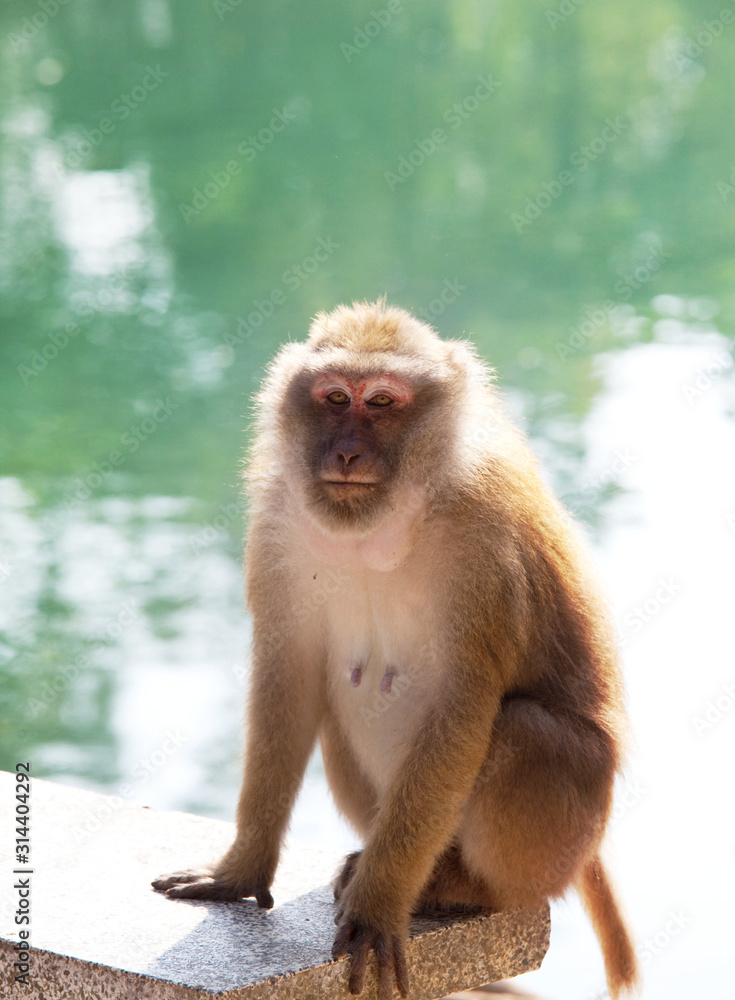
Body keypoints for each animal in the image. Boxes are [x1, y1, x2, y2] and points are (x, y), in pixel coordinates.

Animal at [153, 300, 639, 1000]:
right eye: (335, 398)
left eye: (382, 402)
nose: (346, 450)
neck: (385, 521)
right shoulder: (277, 523)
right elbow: (288, 678)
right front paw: (239, 872)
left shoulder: (485, 547)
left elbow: (462, 711)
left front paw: (378, 909)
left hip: (563, 840)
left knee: (523, 731)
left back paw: (460, 886)